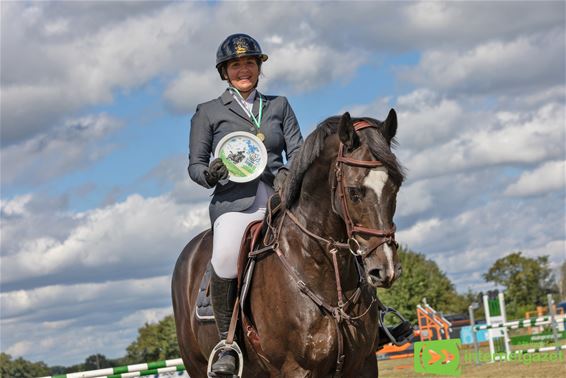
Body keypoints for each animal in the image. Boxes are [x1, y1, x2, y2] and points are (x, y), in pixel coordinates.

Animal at [174, 110, 408, 376]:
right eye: (354, 191)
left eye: (396, 186)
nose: (386, 269)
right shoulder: (296, 368)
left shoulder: (364, 363)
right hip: (196, 364)